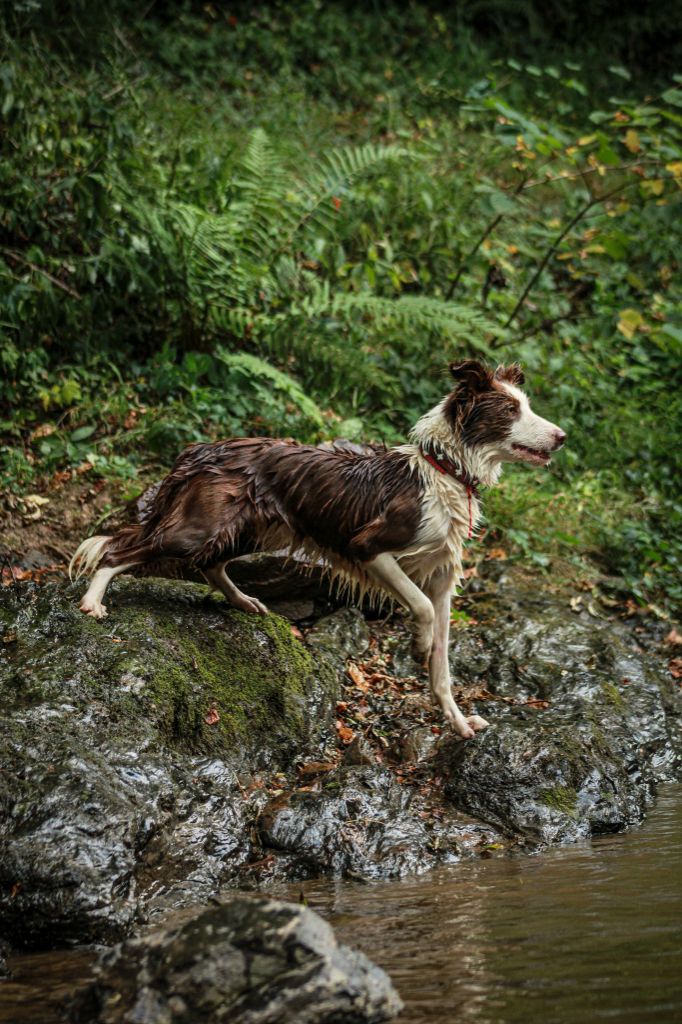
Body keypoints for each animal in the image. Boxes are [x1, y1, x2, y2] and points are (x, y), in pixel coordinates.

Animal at [71, 364, 561, 741]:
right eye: (512, 410)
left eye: (527, 405)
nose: (561, 436)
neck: (445, 469)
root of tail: (203, 448)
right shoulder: (368, 547)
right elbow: (419, 608)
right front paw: (418, 643)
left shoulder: (441, 580)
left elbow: (442, 667)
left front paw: (457, 721)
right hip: (198, 528)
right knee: (118, 547)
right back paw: (93, 601)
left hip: (252, 531)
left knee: (210, 565)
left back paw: (244, 601)